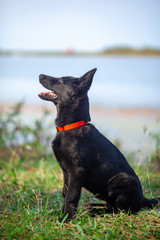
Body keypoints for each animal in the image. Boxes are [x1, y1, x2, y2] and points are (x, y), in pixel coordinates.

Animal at [38, 68, 159, 222]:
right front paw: (61, 213)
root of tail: (143, 199)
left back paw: (97, 212)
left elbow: (71, 196)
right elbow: (65, 193)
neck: (72, 126)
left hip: (120, 180)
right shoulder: (66, 172)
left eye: (59, 81)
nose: (40, 75)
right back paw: (94, 206)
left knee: (119, 210)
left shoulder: (76, 172)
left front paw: (65, 219)